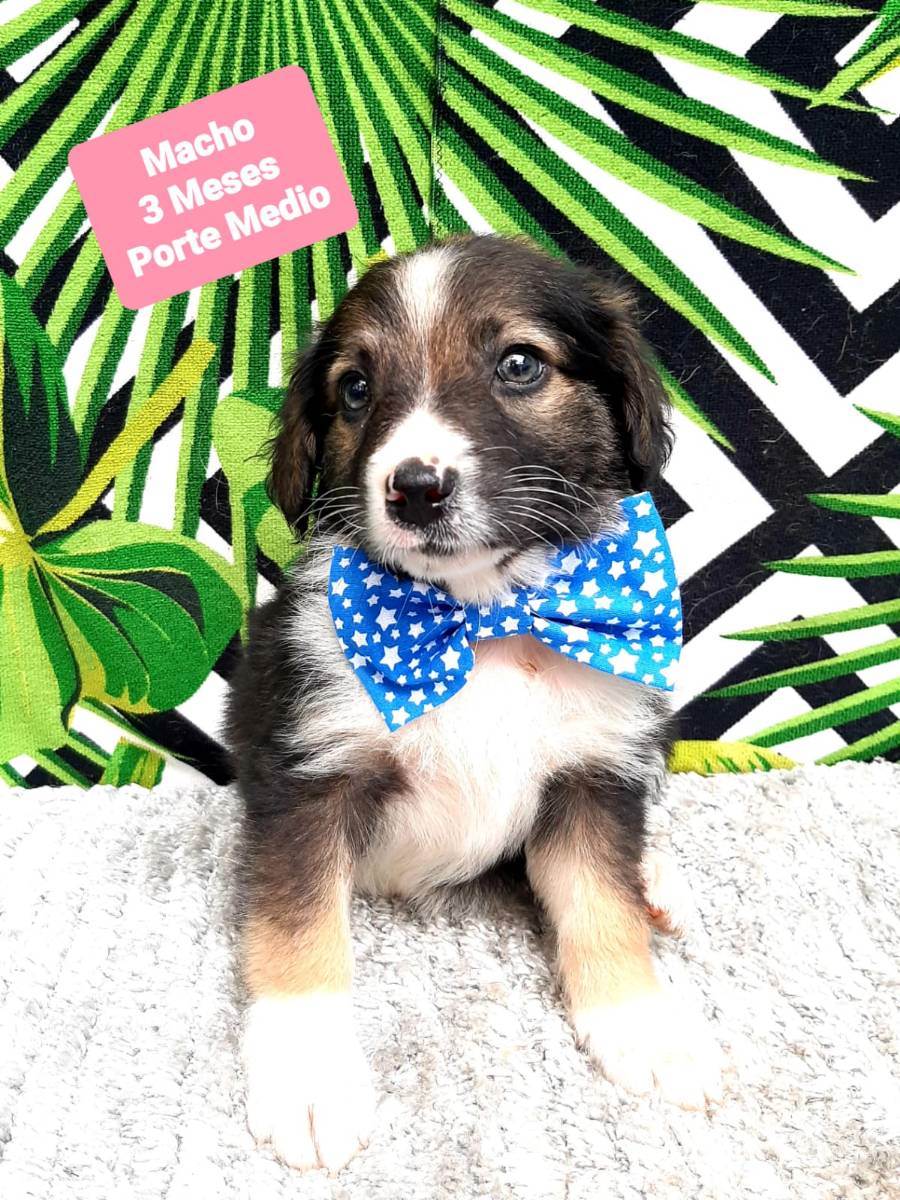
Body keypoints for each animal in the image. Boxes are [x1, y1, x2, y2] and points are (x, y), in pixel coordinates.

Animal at [226, 234, 721, 1173]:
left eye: (520, 364)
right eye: (355, 387)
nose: (415, 487)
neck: (481, 621)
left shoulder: (594, 772)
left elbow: (600, 905)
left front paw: (640, 1024)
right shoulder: (306, 773)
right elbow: (300, 927)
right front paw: (310, 1078)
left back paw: (658, 881)